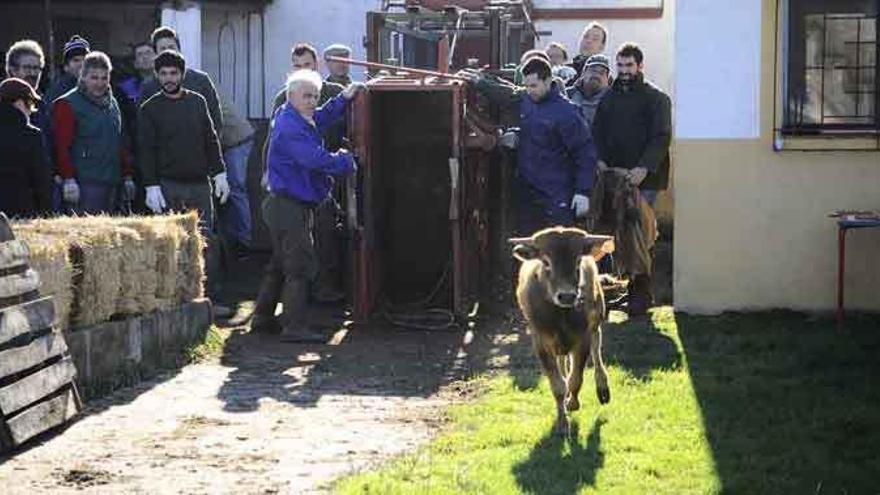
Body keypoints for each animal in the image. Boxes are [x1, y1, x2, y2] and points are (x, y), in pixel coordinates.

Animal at [508, 227, 612, 436]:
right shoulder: (541, 344)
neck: (560, 315)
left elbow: (575, 378)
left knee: (597, 349)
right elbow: (558, 385)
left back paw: (602, 388)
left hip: (597, 318)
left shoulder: (582, 339)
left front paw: (572, 403)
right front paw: (562, 421)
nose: (567, 296)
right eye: (546, 262)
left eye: (578, 260)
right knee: (563, 362)